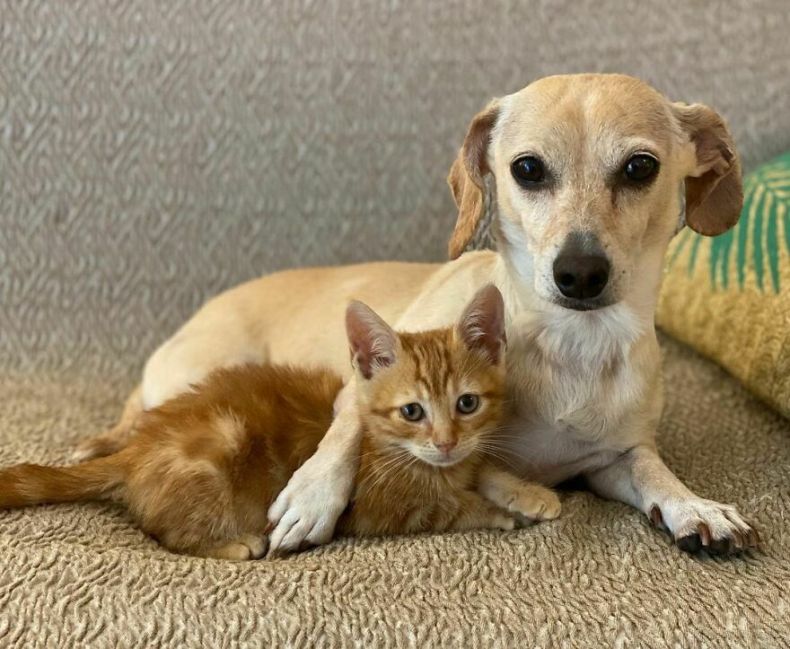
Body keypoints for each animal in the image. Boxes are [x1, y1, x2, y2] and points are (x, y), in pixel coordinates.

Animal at [0, 286, 560, 560]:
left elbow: (481, 470)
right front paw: (499, 513)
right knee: (165, 531)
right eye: (412, 411)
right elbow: (453, 506)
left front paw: (526, 491)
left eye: (467, 403)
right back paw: (233, 544)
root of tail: (136, 451)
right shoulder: (391, 506)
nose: (445, 442)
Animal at [77, 73, 756, 556]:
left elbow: (651, 469)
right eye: (527, 168)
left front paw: (696, 506)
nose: (579, 273)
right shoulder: (365, 389)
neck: (570, 345)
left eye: (641, 166)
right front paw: (312, 496)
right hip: (200, 380)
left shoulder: (613, 461)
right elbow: (349, 425)